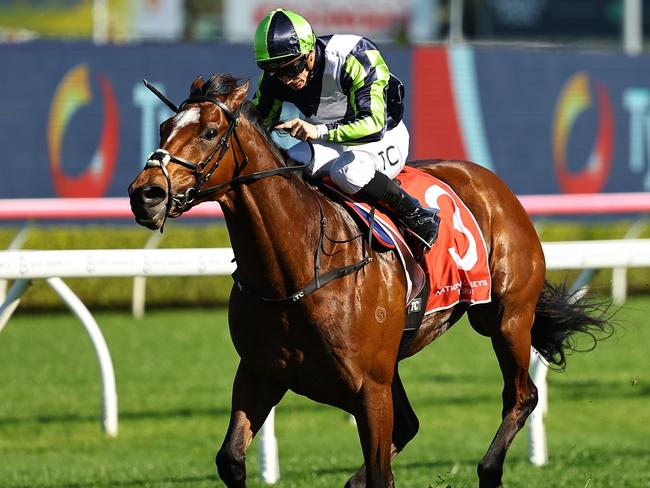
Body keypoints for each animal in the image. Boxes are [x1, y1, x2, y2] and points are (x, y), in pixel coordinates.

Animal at [128, 74, 608, 486]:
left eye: (210, 132)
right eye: (164, 127)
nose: (145, 193)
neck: (296, 272)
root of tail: (492, 182)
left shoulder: (368, 389)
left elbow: (382, 472)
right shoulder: (260, 373)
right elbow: (230, 459)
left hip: (506, 317)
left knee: (521, 396)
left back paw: (489, 470)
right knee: (411, 425)